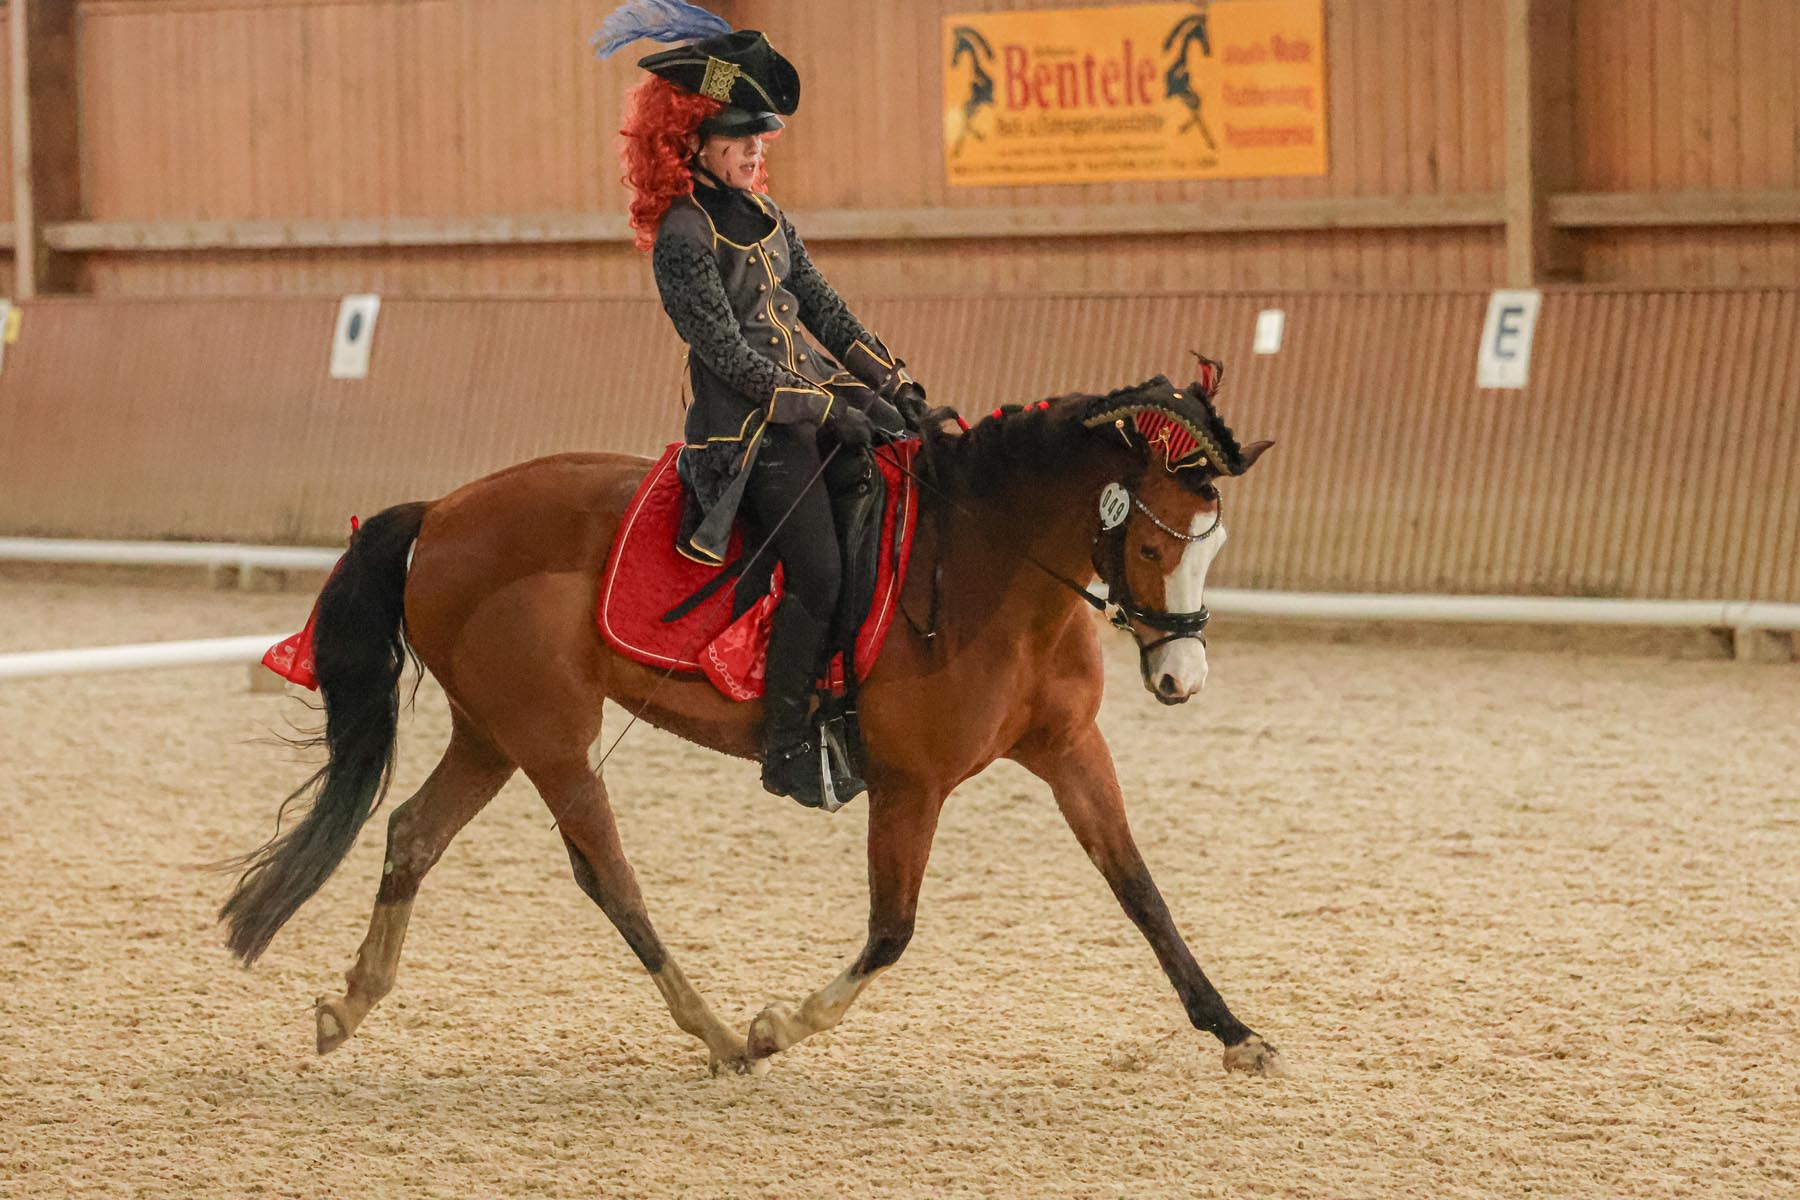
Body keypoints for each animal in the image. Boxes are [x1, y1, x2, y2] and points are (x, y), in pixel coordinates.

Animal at [214, 372, 1281, 1079]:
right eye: (1153, 545)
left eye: (1215, 540)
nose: (1181, 677)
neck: (992, 566)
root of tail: (442, 511)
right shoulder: (912, 783)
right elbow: (892, 930)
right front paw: (780, 1025)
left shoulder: (1069, 751)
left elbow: (1141, 892)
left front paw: (1235, 1033)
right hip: (553, 737)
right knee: (606, 876)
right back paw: (725, 1038)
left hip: (492, 733)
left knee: (412, 834)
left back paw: (349, 1005)